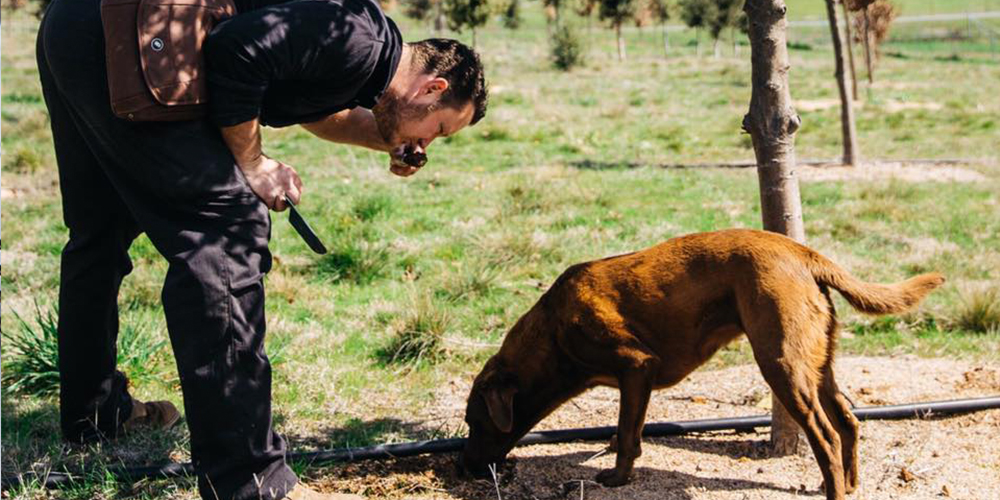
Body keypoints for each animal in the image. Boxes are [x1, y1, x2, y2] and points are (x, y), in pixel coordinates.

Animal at [460, 229, 944, 500]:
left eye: (472, 421)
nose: (464, 467)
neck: (554, 327)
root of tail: (803, 253)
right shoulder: (637, 378)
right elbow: (628, 433)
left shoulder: (636, 366)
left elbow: (625, 433)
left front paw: (616, 478)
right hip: (817, 362)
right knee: (847, 421)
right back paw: (847, 484)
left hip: (782, 363)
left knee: (825, 434)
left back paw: (835, 491)